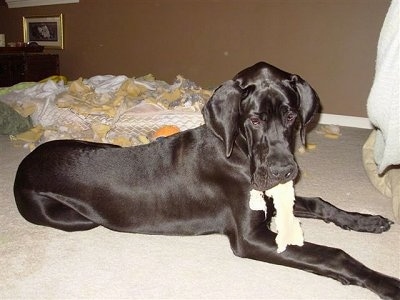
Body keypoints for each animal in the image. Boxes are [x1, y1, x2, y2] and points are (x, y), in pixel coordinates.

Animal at [13, 62, 400, 298]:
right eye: (254, 120)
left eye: (290, 115)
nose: (283, 171)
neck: (239, 152)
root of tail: (24, 163)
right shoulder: (250, 237)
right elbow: (335, 255)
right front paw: (384, 282)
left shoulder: (273, 198)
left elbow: (321, 203)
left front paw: (367, 220)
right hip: (75, 219)